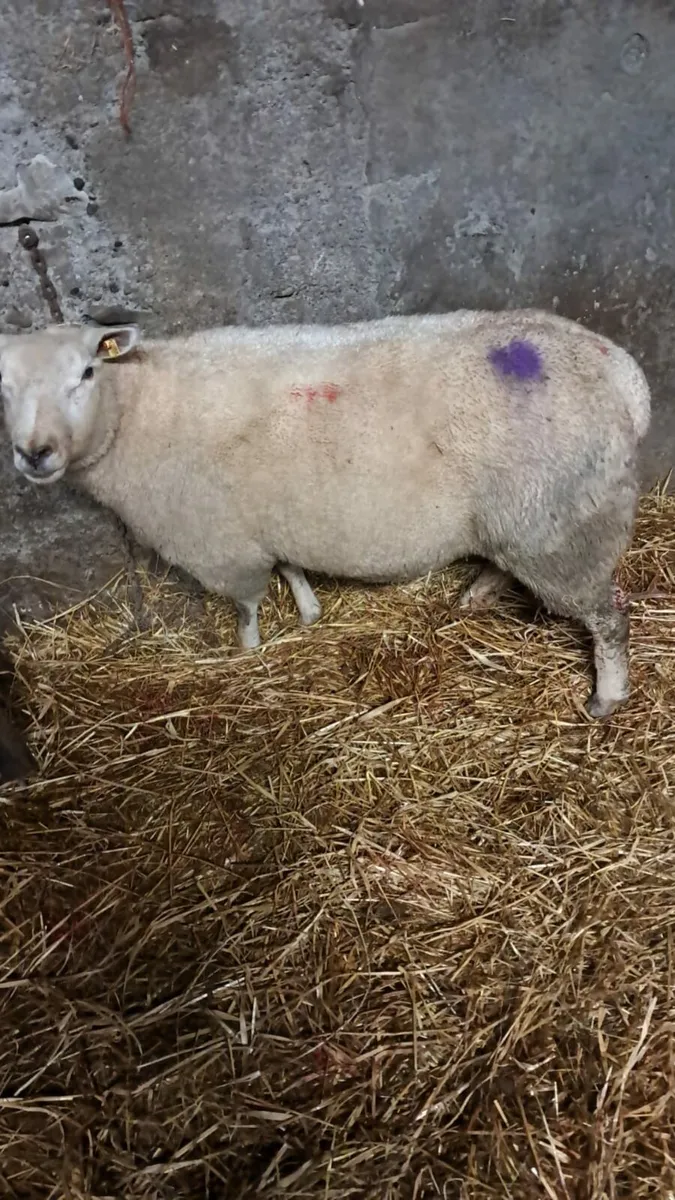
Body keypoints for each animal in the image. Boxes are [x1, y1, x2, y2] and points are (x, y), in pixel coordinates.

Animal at [0, 308, 651, 718]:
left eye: (86, 372)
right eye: (3, 386)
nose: (35, 453)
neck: (135, 409)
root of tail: (623, 375)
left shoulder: (224, 546)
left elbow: (247, 605)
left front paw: (249, 654)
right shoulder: (269, 524)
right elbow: (289, 567)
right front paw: (310, 612)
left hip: (566, 525)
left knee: (610, 617)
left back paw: (606, 698)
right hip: (525, 521)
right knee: (509, 566)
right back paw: (474, 596)